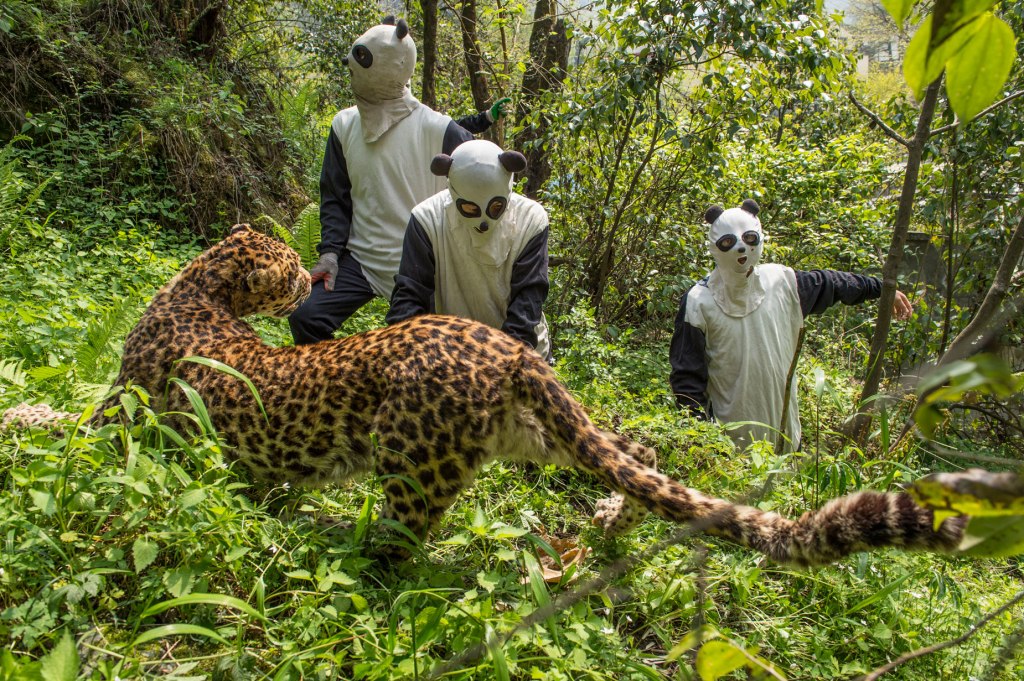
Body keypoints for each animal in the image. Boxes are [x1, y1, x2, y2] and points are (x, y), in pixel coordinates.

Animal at [4, 225, 966, 565]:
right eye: (279, 260)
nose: (309, 270)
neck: (201, 289)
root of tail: (501, 345)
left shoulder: (126, 406)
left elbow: (76, 428)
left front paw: (23, 418)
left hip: (415, 463)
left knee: (397, 553)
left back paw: (339, 556)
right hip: (536, 432)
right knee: (637, 452)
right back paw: (609, 522)